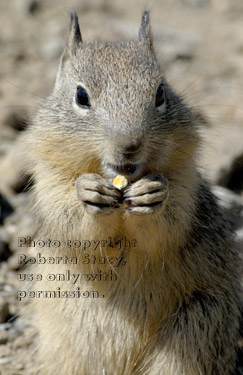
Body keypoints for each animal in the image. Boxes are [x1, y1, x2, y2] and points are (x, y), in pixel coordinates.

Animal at [23, 11, 243, 375]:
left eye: (161, 93)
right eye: (80, 96)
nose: (129, 145)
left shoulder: (187, 186)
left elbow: (170, 221)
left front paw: (154, 194)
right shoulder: (48, 180)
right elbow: (68, 217)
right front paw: (87, 192)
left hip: (195, 325)